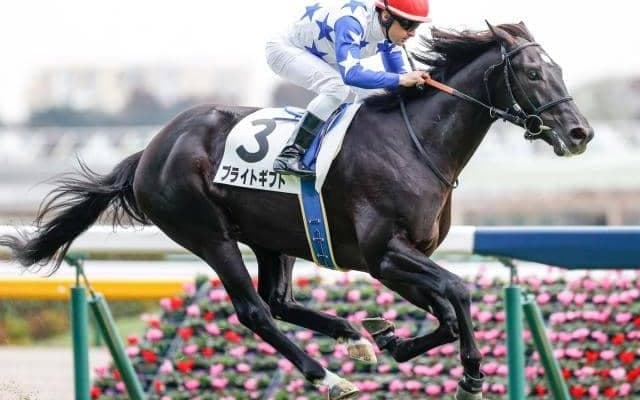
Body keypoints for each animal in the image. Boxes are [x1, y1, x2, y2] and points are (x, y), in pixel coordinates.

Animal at [0, 22, 592, 400]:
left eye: (560, 69)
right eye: (533, 74)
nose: (580, 133)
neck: (416, 142)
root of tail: (149, 150)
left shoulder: (397, 260)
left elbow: (446, 309)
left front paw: (391, 340)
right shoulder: (384, 254)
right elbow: (459, 291)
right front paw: (469, 372)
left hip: (274, 237)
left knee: (280, 300)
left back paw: (354, 340)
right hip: (209, 233)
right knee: (255, 311)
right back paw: (328, 376)